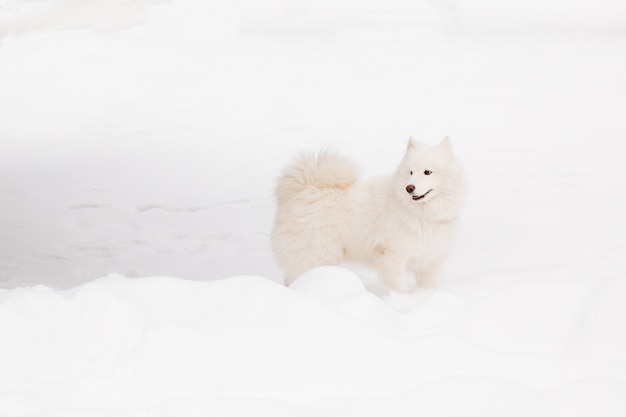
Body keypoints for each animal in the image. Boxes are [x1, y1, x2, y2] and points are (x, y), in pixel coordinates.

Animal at [270, 137, 466, 292]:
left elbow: (430, 286)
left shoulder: (431, 262)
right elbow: (399, 287)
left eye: (427, 172)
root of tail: (306, 188)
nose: (409, 188)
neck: (419, 213)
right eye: (410, 172)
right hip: (315, 254)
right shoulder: (392, 256)